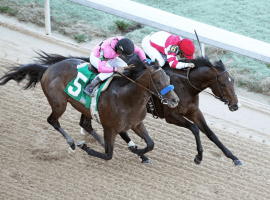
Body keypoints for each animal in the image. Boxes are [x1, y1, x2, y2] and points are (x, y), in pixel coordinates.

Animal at [0, 52, 179, 161]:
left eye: (168, 79)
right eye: (158, 82)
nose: (175, 100)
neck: (127, 98)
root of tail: (49, 68)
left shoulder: (136, 124)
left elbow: (150, 144)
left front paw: (138, 152)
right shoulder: (110, 128)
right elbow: (108, 155)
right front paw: (84, 146)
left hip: (84, 108)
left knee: (85, 124)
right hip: (59, 104)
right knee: (53, 121)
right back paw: (72, 143)